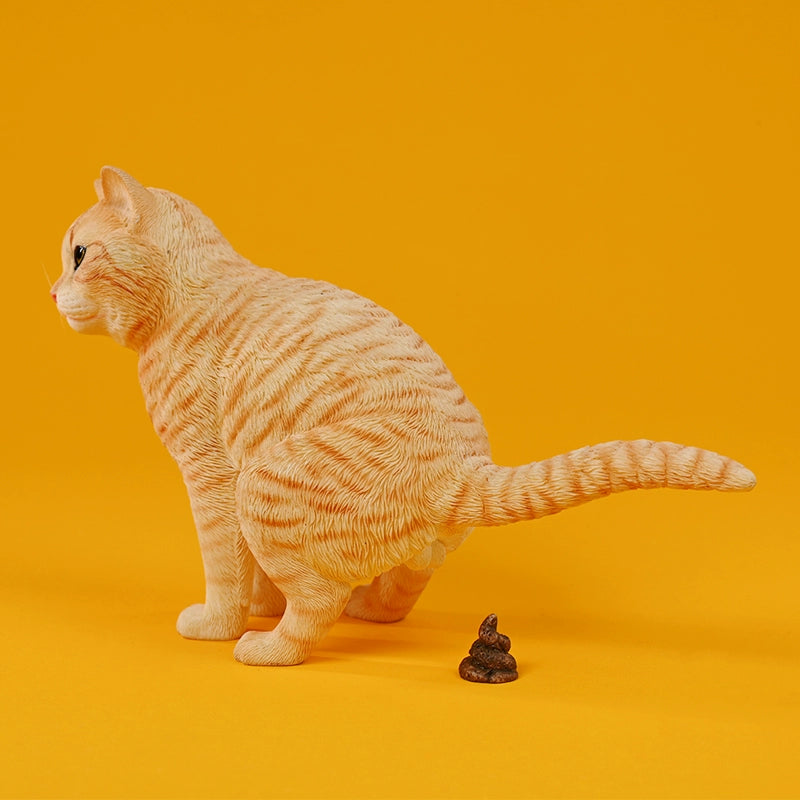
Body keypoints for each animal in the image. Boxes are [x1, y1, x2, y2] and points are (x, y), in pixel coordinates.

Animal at [51, 170, 756, 668]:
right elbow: (255, 575)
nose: (52, 291)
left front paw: (223, 622)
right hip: (397, 539)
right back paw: (363, 607)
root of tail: (459, 469)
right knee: (396, 592)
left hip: (263, 485)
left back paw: (269, 647)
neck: (189, 291)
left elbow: (226, 564)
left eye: (79, 255)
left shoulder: (213, 475)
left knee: (316, 605)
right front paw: (258, 605)